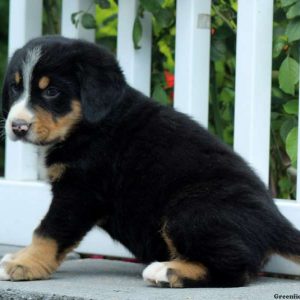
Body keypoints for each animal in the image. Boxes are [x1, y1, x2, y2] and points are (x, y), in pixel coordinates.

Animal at [0, 36, 300, 288]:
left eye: (51, 92)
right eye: (15, 88)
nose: (17, 126)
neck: (87, 126)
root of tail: (276, 221)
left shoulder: (79, 191)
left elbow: (49, 231)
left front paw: (23, 264)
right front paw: (20, 258)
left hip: (190, 209)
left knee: (235, 269)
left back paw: (167, 271)